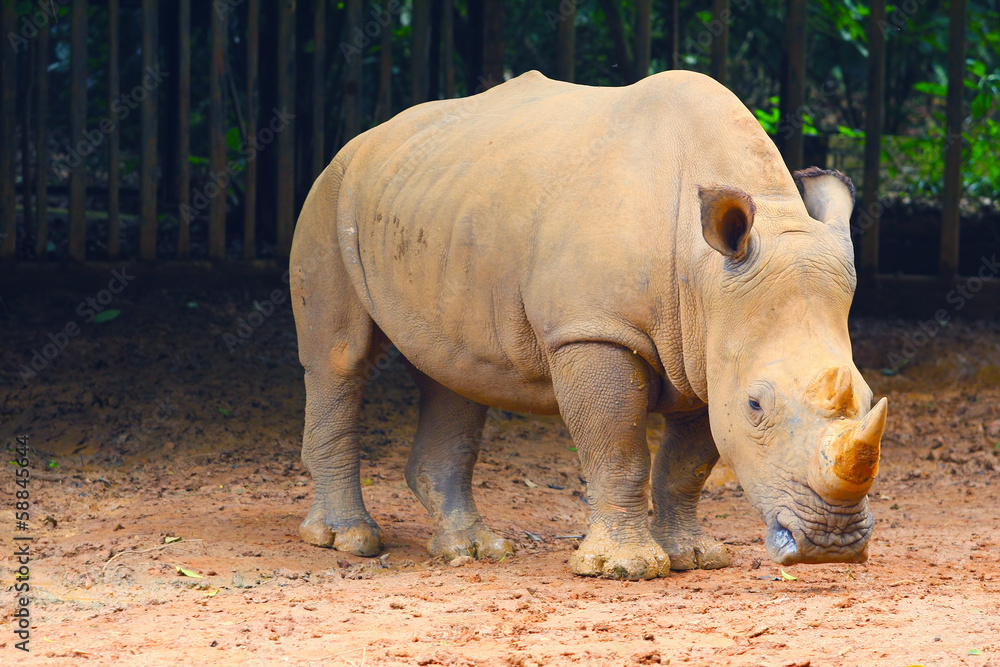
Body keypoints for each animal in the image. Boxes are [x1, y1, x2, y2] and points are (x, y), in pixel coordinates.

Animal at [289, 70, 888, 579]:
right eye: (756, 406)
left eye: (865, 396)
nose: (831, 546)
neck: (705, 274)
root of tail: (367, 137)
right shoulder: (593, 329)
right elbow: (619, 446)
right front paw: (625, 568)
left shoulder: (708, 352)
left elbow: (688, 463)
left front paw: (696, 557)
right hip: (330, 192)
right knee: (340, 358)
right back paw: (349, 540)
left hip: (437, 210)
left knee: (452, 370)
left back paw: (475, 550)